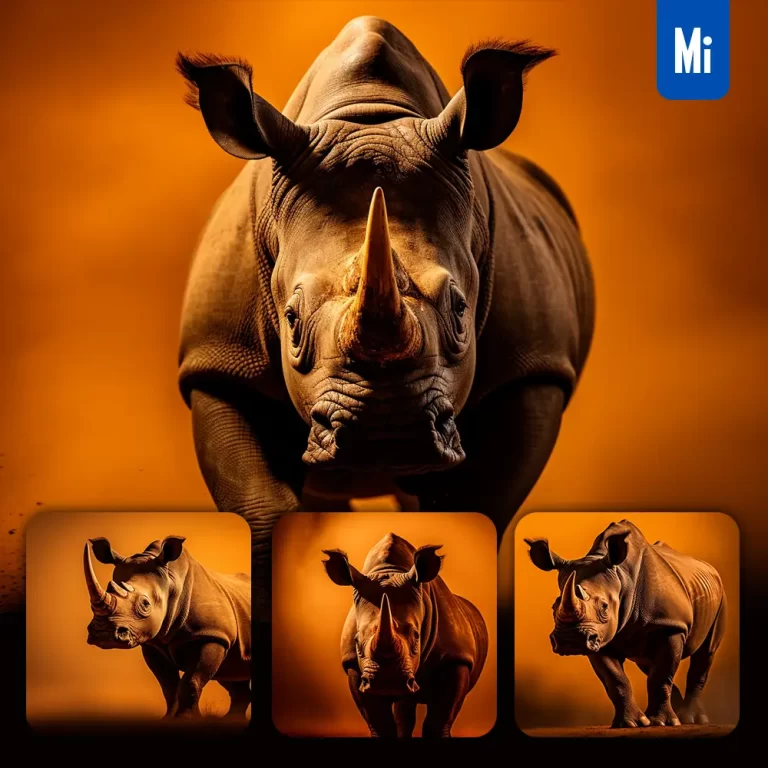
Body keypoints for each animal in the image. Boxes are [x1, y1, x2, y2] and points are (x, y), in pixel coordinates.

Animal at [84, 535, 251, 719]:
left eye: (145, 604)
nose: (104, 634)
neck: (172, 583)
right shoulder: (154, 644)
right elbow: (169, 686)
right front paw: (169, 718)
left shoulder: (212, 635)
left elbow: (191, 682)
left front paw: (186, 718)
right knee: (233, 676)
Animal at [176, 16, 594, 619]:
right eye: (291, 320)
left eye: (461, 311)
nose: (386, 436)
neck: (368, 116)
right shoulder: (220, 365)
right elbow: (262, 512)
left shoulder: (532, 368)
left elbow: (472, 505)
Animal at [322, 532, 488, 738]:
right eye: (356, 641)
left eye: (417, 637)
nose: (387, 683)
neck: (390, 570)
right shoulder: (352, 662)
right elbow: (380, 724)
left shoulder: (456, 658)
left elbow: (438, 722)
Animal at [525, 520, 727, 728]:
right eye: (553, 607)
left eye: (605, 607)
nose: (570, 640)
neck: (622, 578)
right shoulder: (600, 638)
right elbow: (616, 680)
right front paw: (630, 723)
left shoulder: (669, 626)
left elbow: (661, 676)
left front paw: (661, 722)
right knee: (647, 662)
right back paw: (677, 713)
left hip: (720, 595)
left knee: (706, 651)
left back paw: (691, 719)